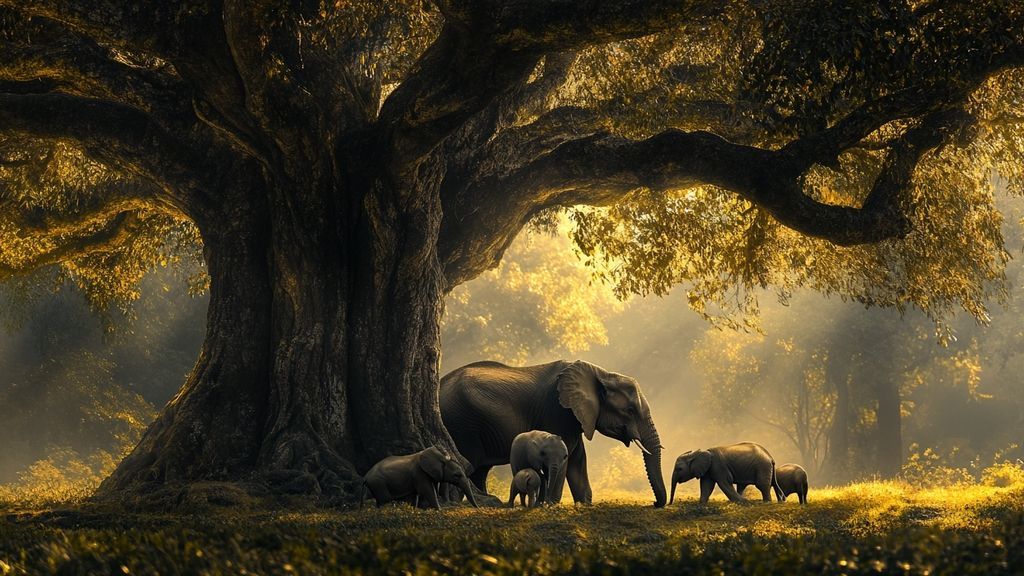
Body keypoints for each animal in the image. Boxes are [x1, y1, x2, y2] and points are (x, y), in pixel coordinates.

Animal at [440, 360, 666, 507]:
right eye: (630, 410)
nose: (654, 503)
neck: (601, 373)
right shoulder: (557, 412)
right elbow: (565, 460)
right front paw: (551, 505)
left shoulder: (574, 418)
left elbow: (577, 460)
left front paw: (583, 504)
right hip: (462, 424)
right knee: (470, 464)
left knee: (480, 470)